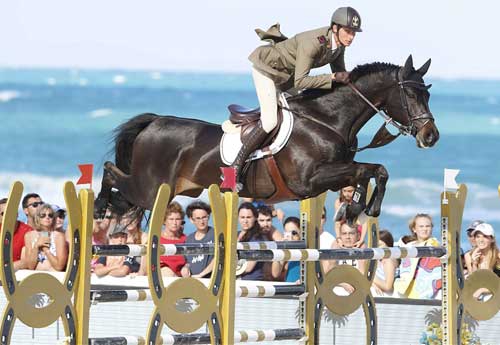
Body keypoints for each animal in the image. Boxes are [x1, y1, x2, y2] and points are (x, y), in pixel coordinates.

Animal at [94, 55, 438, 219]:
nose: (431, 135)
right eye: (411, 94)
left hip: (172, 190)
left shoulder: (328, 178)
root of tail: (153, 123)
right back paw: (98, 206)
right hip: (151, 189)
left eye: (428, 94)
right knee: (111, 172)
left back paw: (106, 208)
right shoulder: (309, 181)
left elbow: (372, 170)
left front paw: (356, 209)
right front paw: (361, 209)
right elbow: (368, 170)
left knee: (122, 195)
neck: (325, 120)